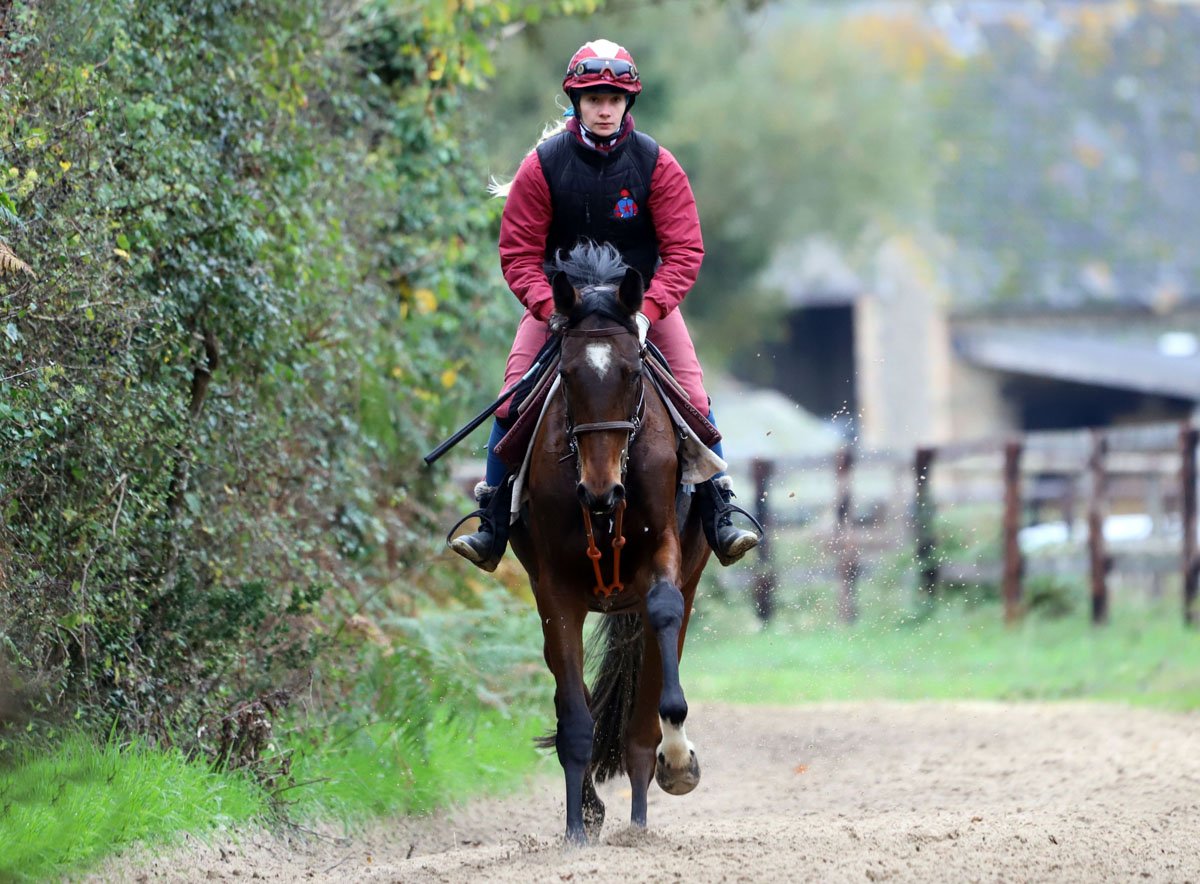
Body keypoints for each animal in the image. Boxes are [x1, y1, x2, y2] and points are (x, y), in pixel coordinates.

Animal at [507, 242, 712, 844]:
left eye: (632, 371)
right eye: (567, 374)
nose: (601, 492)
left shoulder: (666, 552)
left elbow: (663, 615)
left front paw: (678, 759)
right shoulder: (554, 591)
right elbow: (574, 717)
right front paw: (579, 828)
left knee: (641, 723)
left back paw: (643, 813)